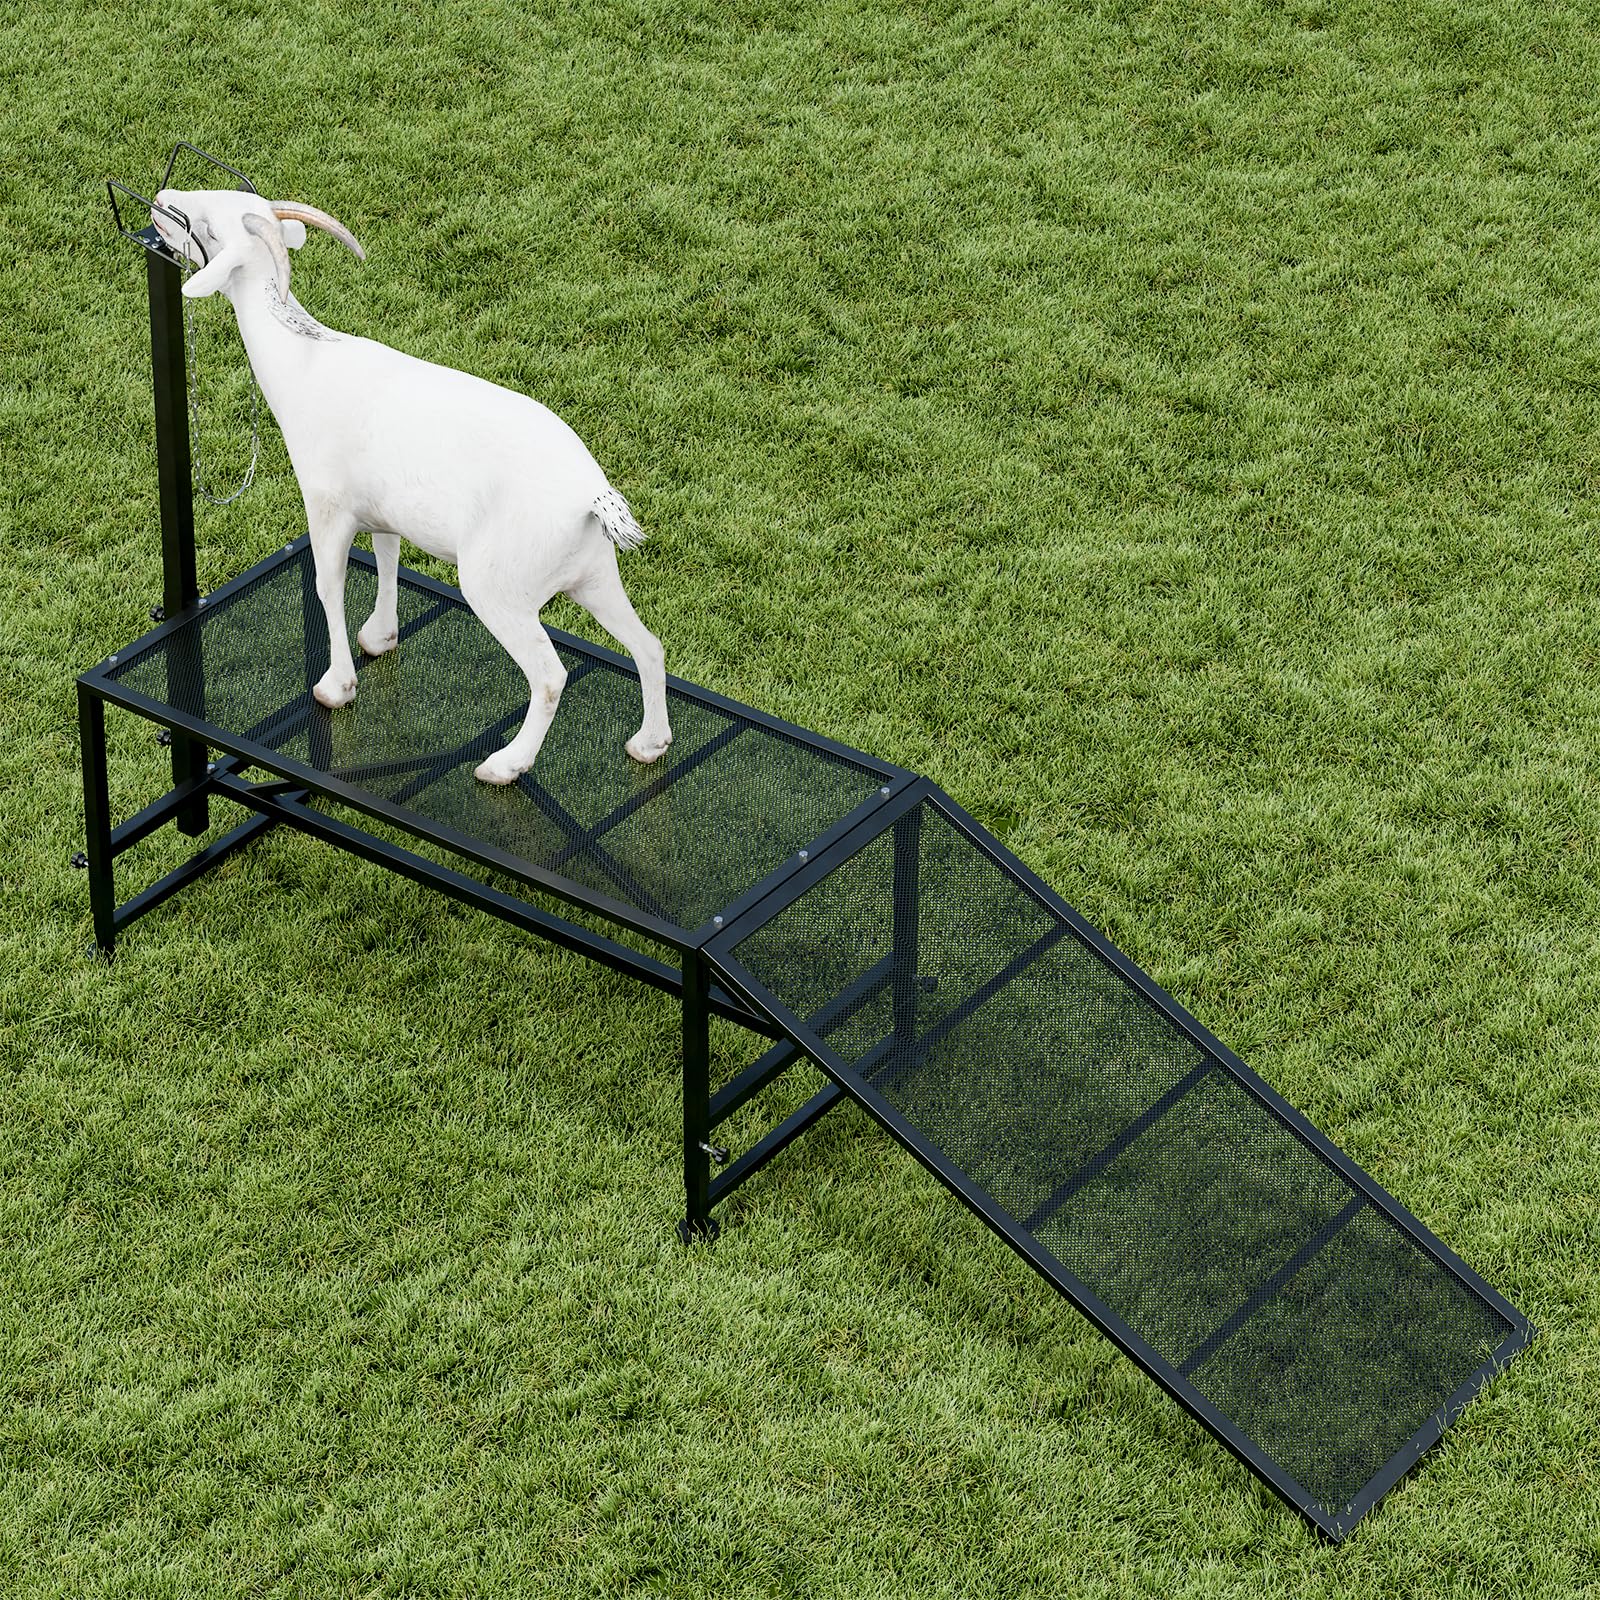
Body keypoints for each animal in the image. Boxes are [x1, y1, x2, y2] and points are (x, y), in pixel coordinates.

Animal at [150, 187, 671, 784]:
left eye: (210, 228)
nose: (162, 201)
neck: (306, 366)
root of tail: (593, 497)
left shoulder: (328, 508)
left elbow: (329, 586)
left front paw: (337, 687)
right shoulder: (384, 514)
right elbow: (387, 559)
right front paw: (380, 638)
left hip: (498, 590)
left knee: (549, 677)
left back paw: (505, 766)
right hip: (594, 576)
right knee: (649, 647)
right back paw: (649, 744)